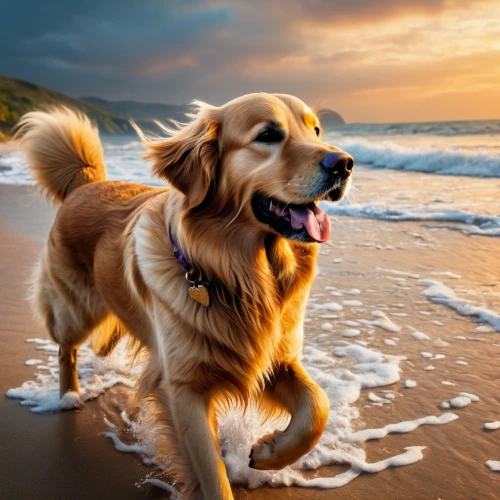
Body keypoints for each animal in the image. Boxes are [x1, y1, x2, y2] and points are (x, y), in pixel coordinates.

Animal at [15, 94, 352, 500]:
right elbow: (211, 473)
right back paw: (69, 397)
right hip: (75, 308)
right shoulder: (184, 388)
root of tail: (85, 184)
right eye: (268, 135)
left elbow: (318, 407)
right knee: (67, 348)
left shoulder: (276, 358)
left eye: (315, 130)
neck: (240, 276)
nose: (345, 163)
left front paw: (269, 451)